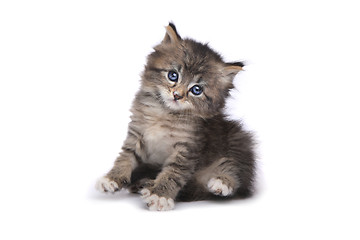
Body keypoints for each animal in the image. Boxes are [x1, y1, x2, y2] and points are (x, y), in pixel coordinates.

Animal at [95, 22, 256, 210]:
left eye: (196, 89)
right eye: (173, 75)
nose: (177, 95)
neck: (165, 113)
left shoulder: (187, 147)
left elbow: (173, 173)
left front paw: (160, 195)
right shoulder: (137, 133)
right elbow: (125, 157)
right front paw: (112, 178)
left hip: (237, 139)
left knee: (236, 172)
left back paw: (221, 182)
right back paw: (143, 183)